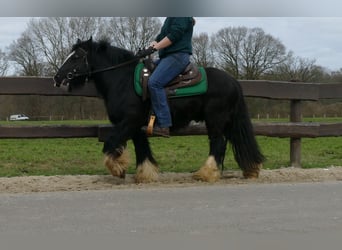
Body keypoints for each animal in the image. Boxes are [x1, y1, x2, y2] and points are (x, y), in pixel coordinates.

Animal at [52, 37, 264, 183]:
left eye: (76, 57)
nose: (57, 77)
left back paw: (206, 174)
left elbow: (110, 143)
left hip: (216, 120)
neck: (123, 81)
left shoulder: (128, 122)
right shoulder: (136, 127)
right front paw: (145, 174)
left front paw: (118, 169)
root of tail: (233, 81)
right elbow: (141, 148)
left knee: (218, 143)